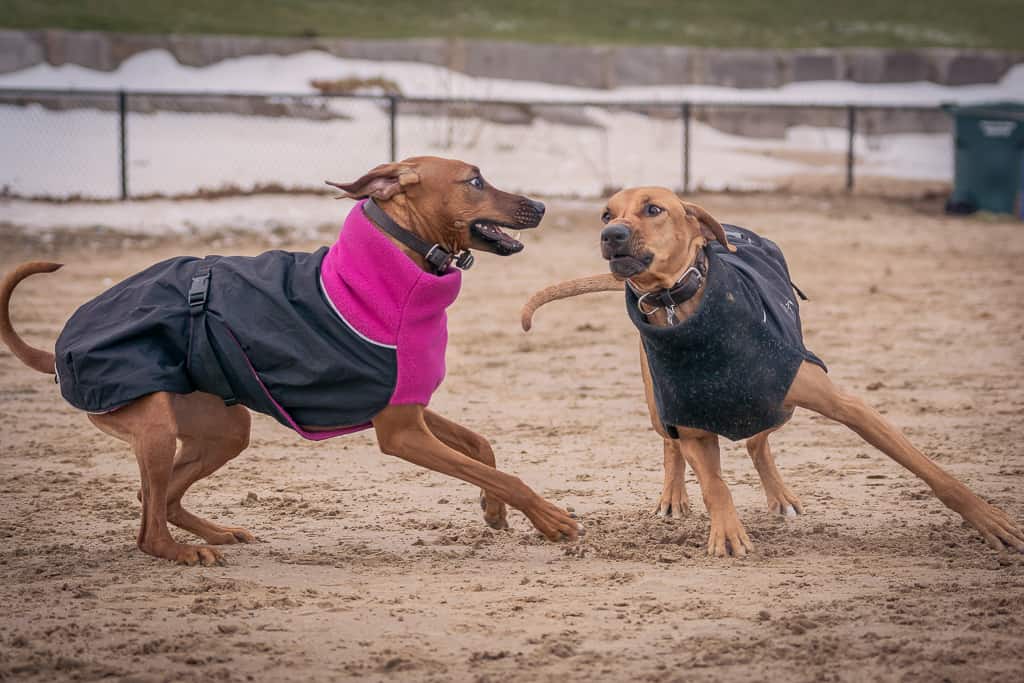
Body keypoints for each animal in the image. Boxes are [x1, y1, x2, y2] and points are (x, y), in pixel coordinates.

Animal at [2, 158, 585, 565]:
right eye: (475, 180)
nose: (541, 207)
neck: (396, 265)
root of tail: (59, 347)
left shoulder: (408, 404)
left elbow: (482, 450)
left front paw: (493, 510)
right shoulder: (401, 433)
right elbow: (503, 473)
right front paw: (549, 518)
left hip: (221, 428)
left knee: (159, 497)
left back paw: (218, 532)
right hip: (153, 425)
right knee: (148, 526)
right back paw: (185, 551)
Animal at [524, 185, 1019, 557]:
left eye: (653, 209)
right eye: (606, 213)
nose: (612, 233)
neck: (679, 305)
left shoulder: (846, 405)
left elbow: (928, 469)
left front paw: (989, 520)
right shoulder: (692, 426)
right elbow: (715, 484)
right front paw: (726, 534)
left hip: (779, 406)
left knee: (758, 443)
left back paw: (780, 496)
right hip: (662, 406)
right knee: (674, 445)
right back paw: (673, 496)